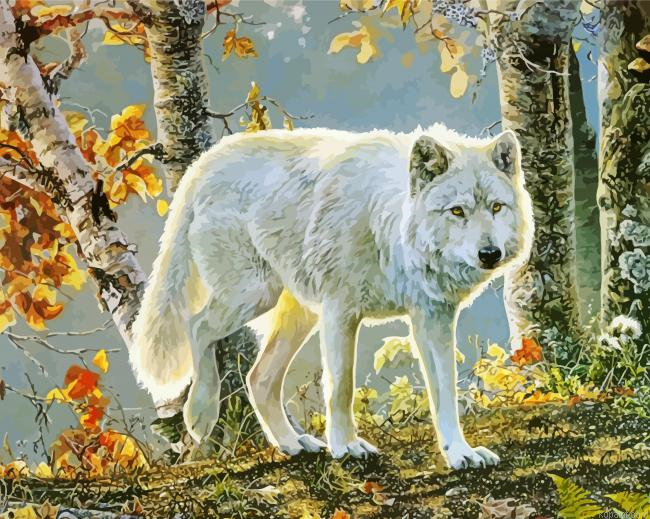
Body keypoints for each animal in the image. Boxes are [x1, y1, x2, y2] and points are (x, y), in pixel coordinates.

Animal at [131, 124, 533, 470]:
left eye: (497, 207)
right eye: (457, 211)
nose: (490, 254)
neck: (387, 225)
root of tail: (203, 165)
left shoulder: (433, 318)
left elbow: (445, 391)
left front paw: (459, 453)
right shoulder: (341, 312)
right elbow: (340, 387)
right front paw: (346, 447)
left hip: (296, 314)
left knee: (259, 378)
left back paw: (292, 443)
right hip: (254, 295)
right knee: (196, 325)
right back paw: (200, 414)